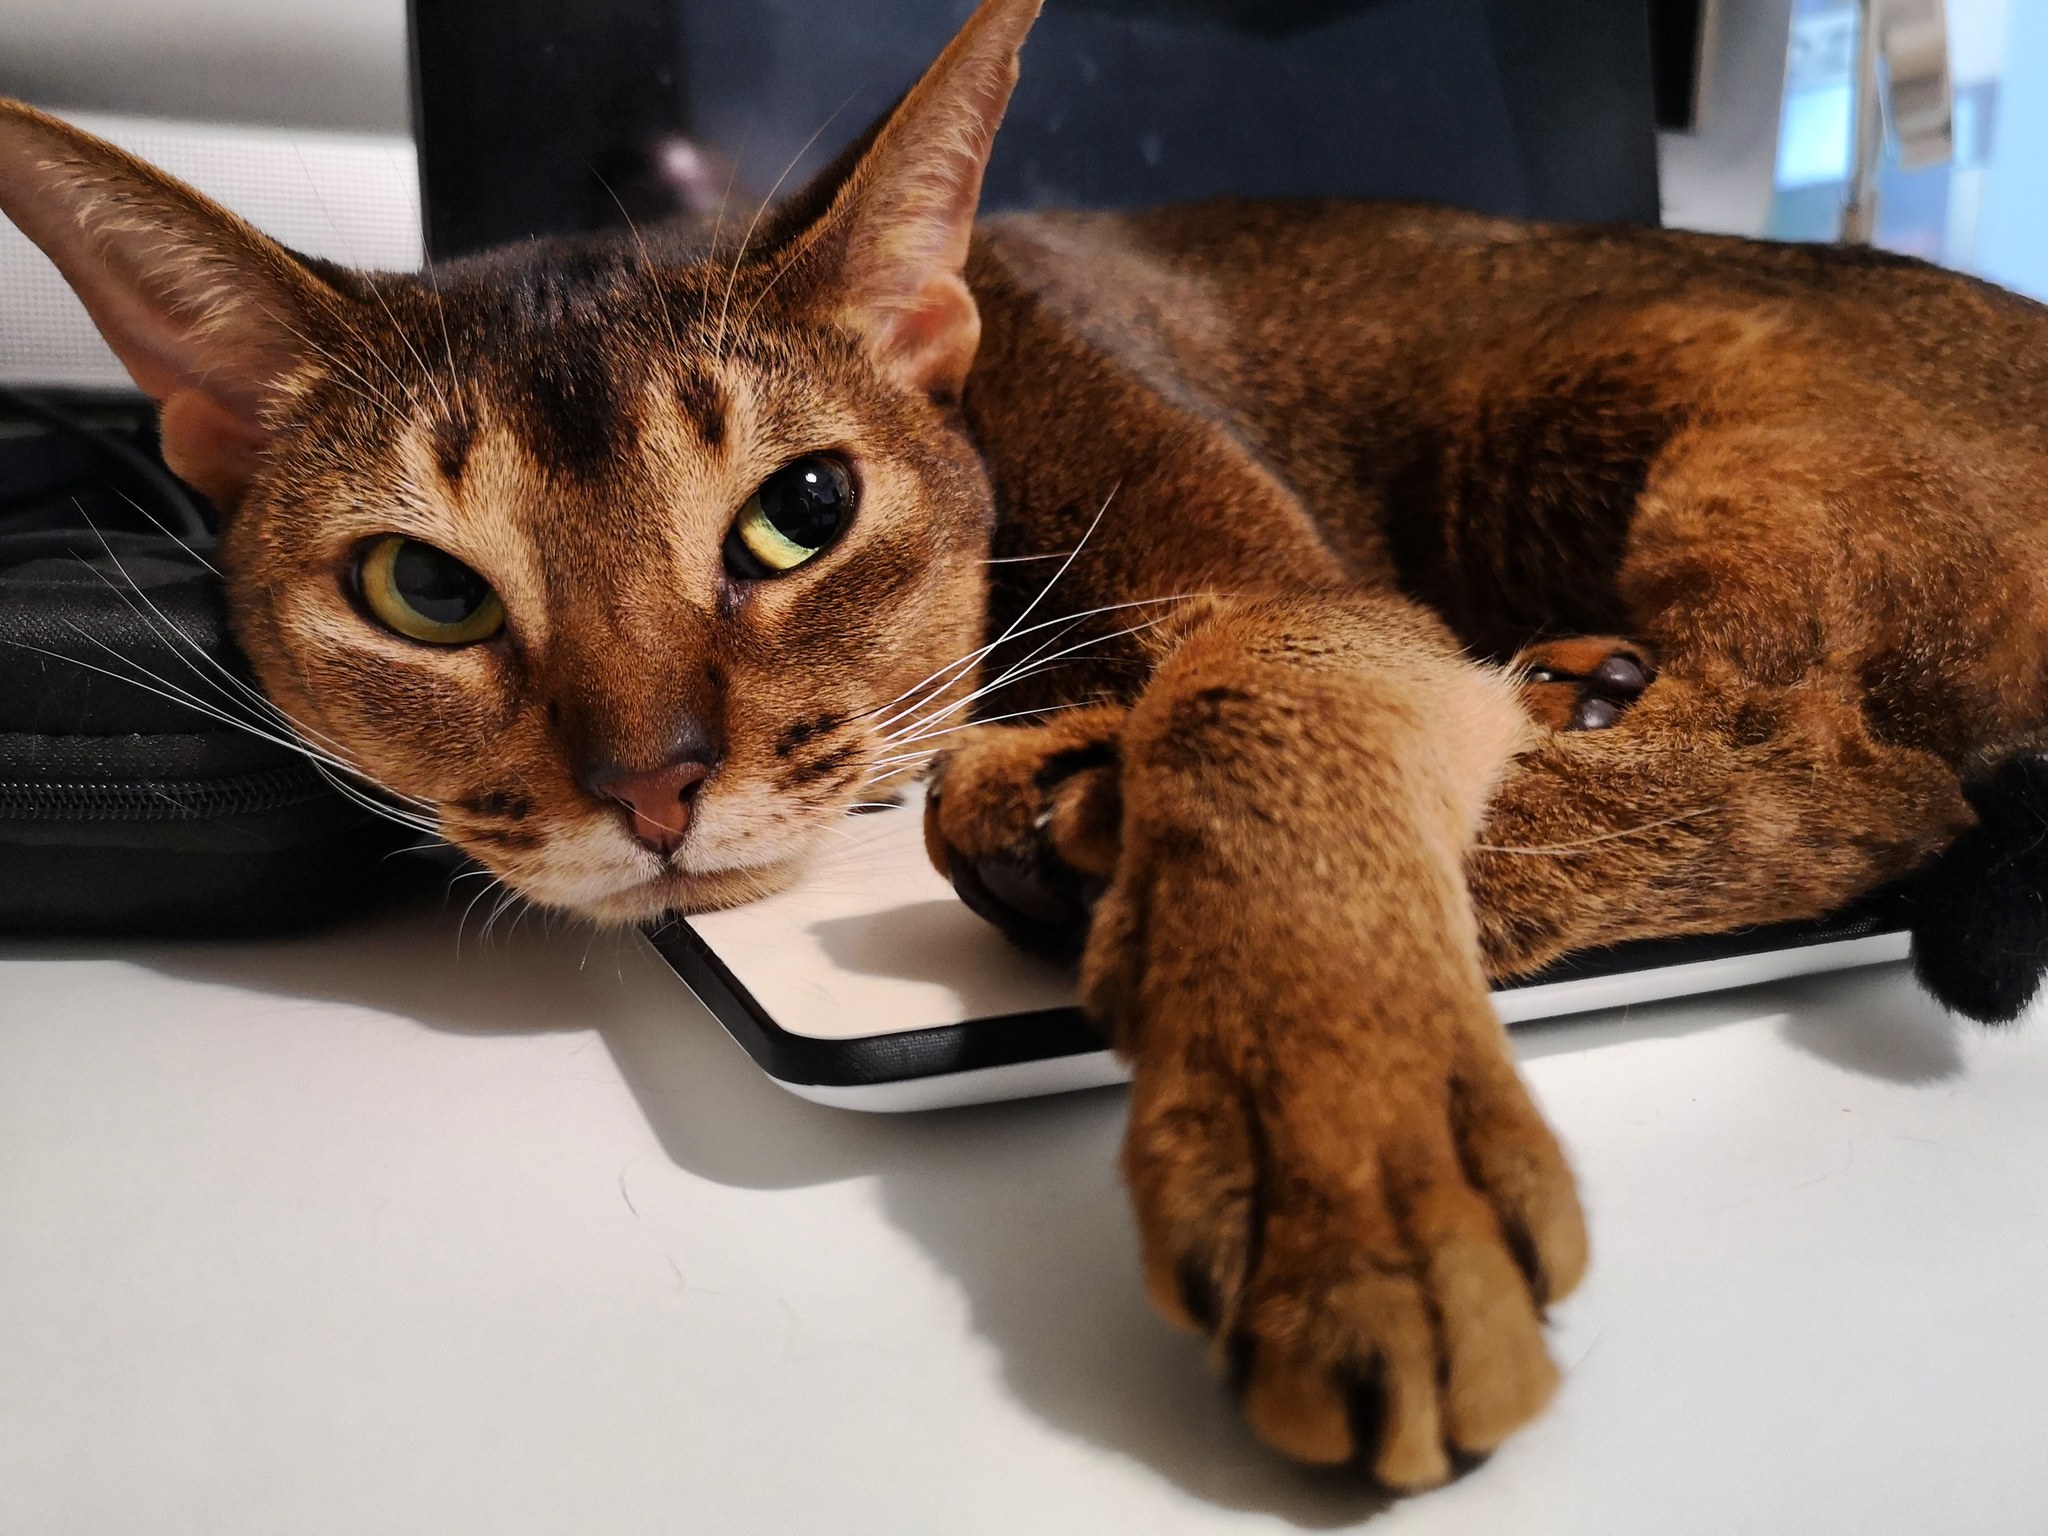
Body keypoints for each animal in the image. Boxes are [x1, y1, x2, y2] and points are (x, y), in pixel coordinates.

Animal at [4, 0, 2048, 1499]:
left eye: (801, 512)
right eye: (422, 589)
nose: (652, 784)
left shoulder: (1307, 603)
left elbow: (1256, 710)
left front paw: (1349, 1163)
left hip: (1649, 392)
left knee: (1834, 766)